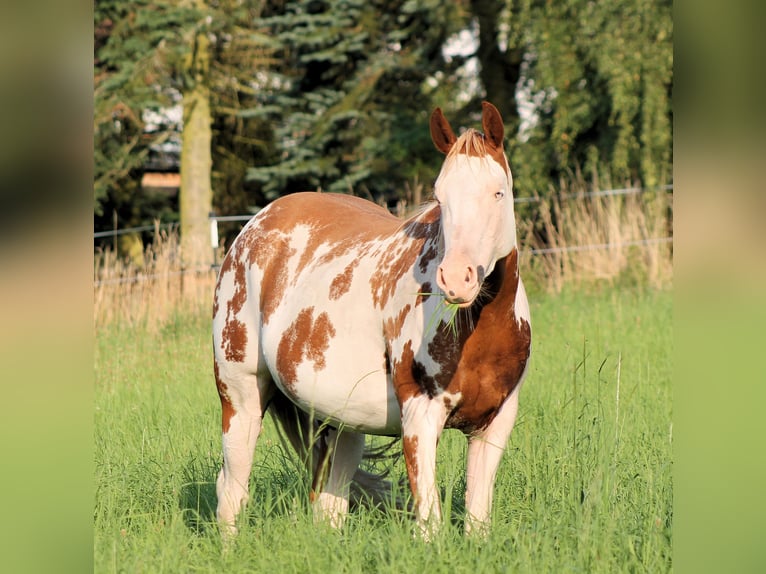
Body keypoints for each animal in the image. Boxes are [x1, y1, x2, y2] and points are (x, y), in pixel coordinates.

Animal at [212, 101, 531, 538]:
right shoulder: (420, 419)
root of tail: (254, 226)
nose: (456, 278)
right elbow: (430, 524)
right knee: (231, 490)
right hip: (240, 397)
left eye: (498, 192)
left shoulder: (494, 424)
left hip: (341, 422)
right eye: (440, 197)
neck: (477, 330)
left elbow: (477, 521)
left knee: (328, 503)